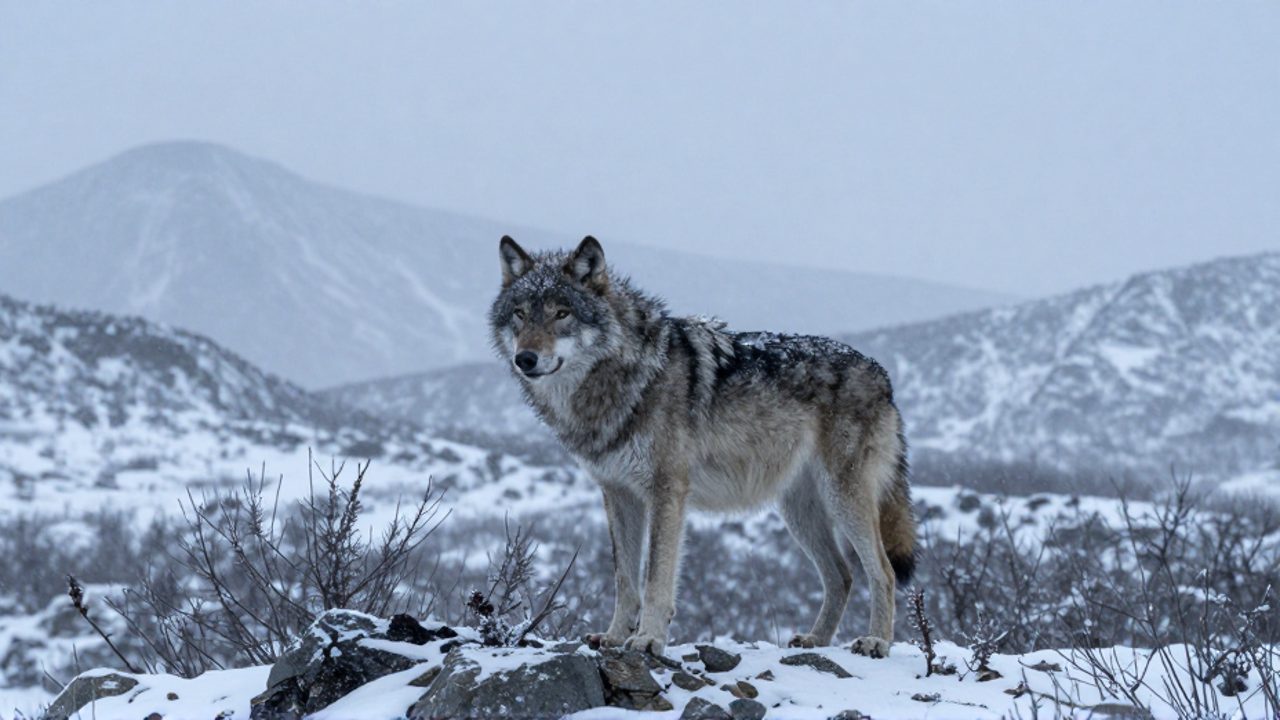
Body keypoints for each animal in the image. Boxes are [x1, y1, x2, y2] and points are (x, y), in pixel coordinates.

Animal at [488, 235, 916, 657]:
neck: (624, 378)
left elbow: (655, 577)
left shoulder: (667, 490)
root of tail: (881, 374)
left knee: (882, 571)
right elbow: (625, 579)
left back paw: (876, 641)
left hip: (843, 499)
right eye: (521, 315)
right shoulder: (618, 494)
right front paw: (612, 637)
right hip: (799, 510)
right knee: (841, 575)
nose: (525, 358)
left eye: (562, 314)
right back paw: (815, 641)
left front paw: (648, 639)